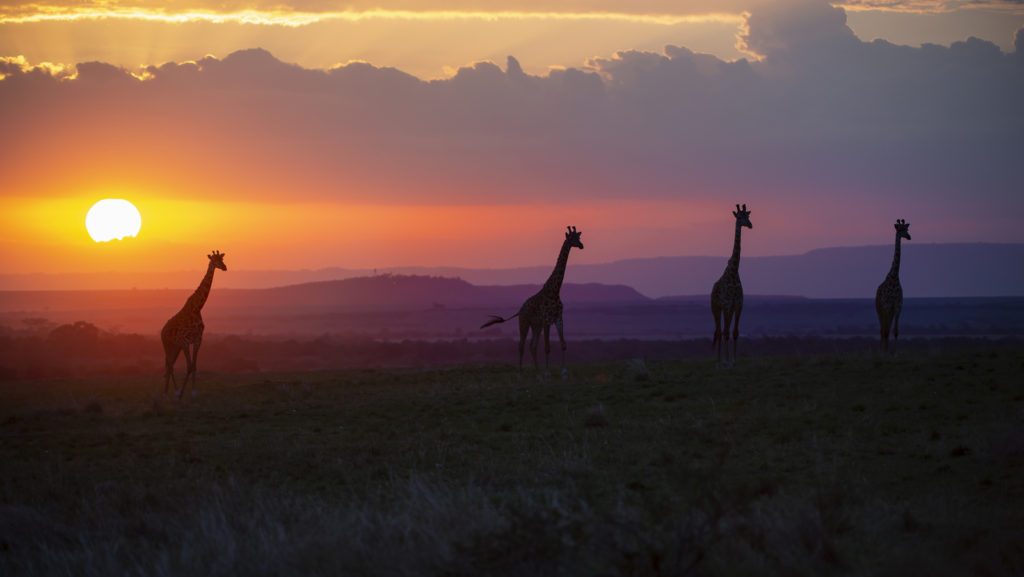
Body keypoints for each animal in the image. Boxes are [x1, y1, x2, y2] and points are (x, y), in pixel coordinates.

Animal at [161, 251, 227, 400]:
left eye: (221, 259)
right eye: (214, 260)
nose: (224, 267)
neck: (197, 308)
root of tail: (162, 330)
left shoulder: (197, 340)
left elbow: (194, 366)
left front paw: (193, 392)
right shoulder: (185, 341)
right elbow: (189, 366)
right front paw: (183, 394)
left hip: (176, 346)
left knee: (170, 364)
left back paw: (170, 391)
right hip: (167, 344)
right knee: (169, 364)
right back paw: (170, 392)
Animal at [480, 226, 584, 377]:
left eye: (579, 237)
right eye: (572, 239)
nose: (581, 246)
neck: (555, 291)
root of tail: (520, 310)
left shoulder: (558, 318)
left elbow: (563, 344)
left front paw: (563, 371)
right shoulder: (547, 320)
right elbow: (547, 347)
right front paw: (547, 372)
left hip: (536, 326)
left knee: (532, 346)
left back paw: (537, 372)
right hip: (524, 323)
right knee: (521, 345)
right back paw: (521, 372)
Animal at [711, 204, 752, 367]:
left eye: (748, 216)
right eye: (739, 217)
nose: (750, 225)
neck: (734, 272)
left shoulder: (738, 305)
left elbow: (735, 333)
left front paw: (734, 359)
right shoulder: (728, 305)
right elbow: (727, 333)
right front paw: (727, 360)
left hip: (724, 309)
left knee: (722, 331)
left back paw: (720, 358)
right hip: (716, 308)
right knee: (719, 331)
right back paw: (718, 359)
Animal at [876, 219, 911, 353]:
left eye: (907, 229)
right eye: (899, 229)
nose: (909, 237)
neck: (894, 277)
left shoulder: (897, 306)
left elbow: (895, 332)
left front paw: (894, 353)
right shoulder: (886, 306)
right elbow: (885, 331)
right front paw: (884, 353)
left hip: (889, 312)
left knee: (886, 329)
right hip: (880, 309)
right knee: (882, 330)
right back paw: (881, 350)